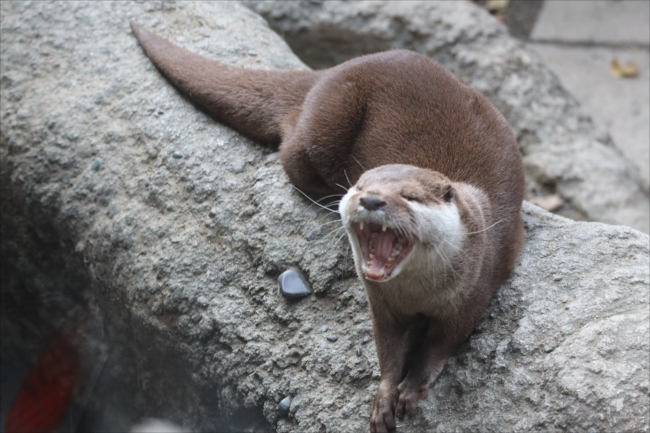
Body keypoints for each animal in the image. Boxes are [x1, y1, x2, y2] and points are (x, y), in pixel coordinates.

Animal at [131, 22, 525, 433]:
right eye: (362, 186)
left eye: (410, 196)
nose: (371, 200)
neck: (420, 293)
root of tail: (332, 71)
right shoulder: (382, 303)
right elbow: (387, 347)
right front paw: (384, 396)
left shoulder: (476, 288)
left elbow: (442, 343)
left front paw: (412, 389)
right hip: (325, 127)